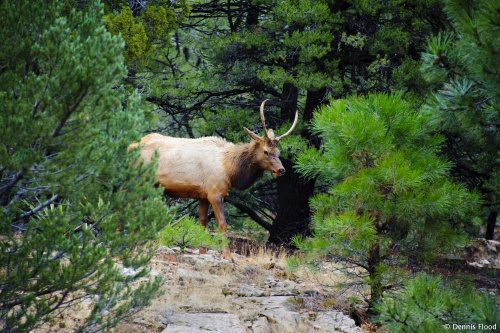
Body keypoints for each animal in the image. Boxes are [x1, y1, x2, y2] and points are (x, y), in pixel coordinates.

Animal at [131, 100, 298, 232]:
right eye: (265, 151)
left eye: (278, 151)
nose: (281, 170)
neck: (230, 169)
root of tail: (129, 147)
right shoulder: (215, 192)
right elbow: (223, 224)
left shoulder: (203, 195)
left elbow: (202, 223)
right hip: (142, 183)